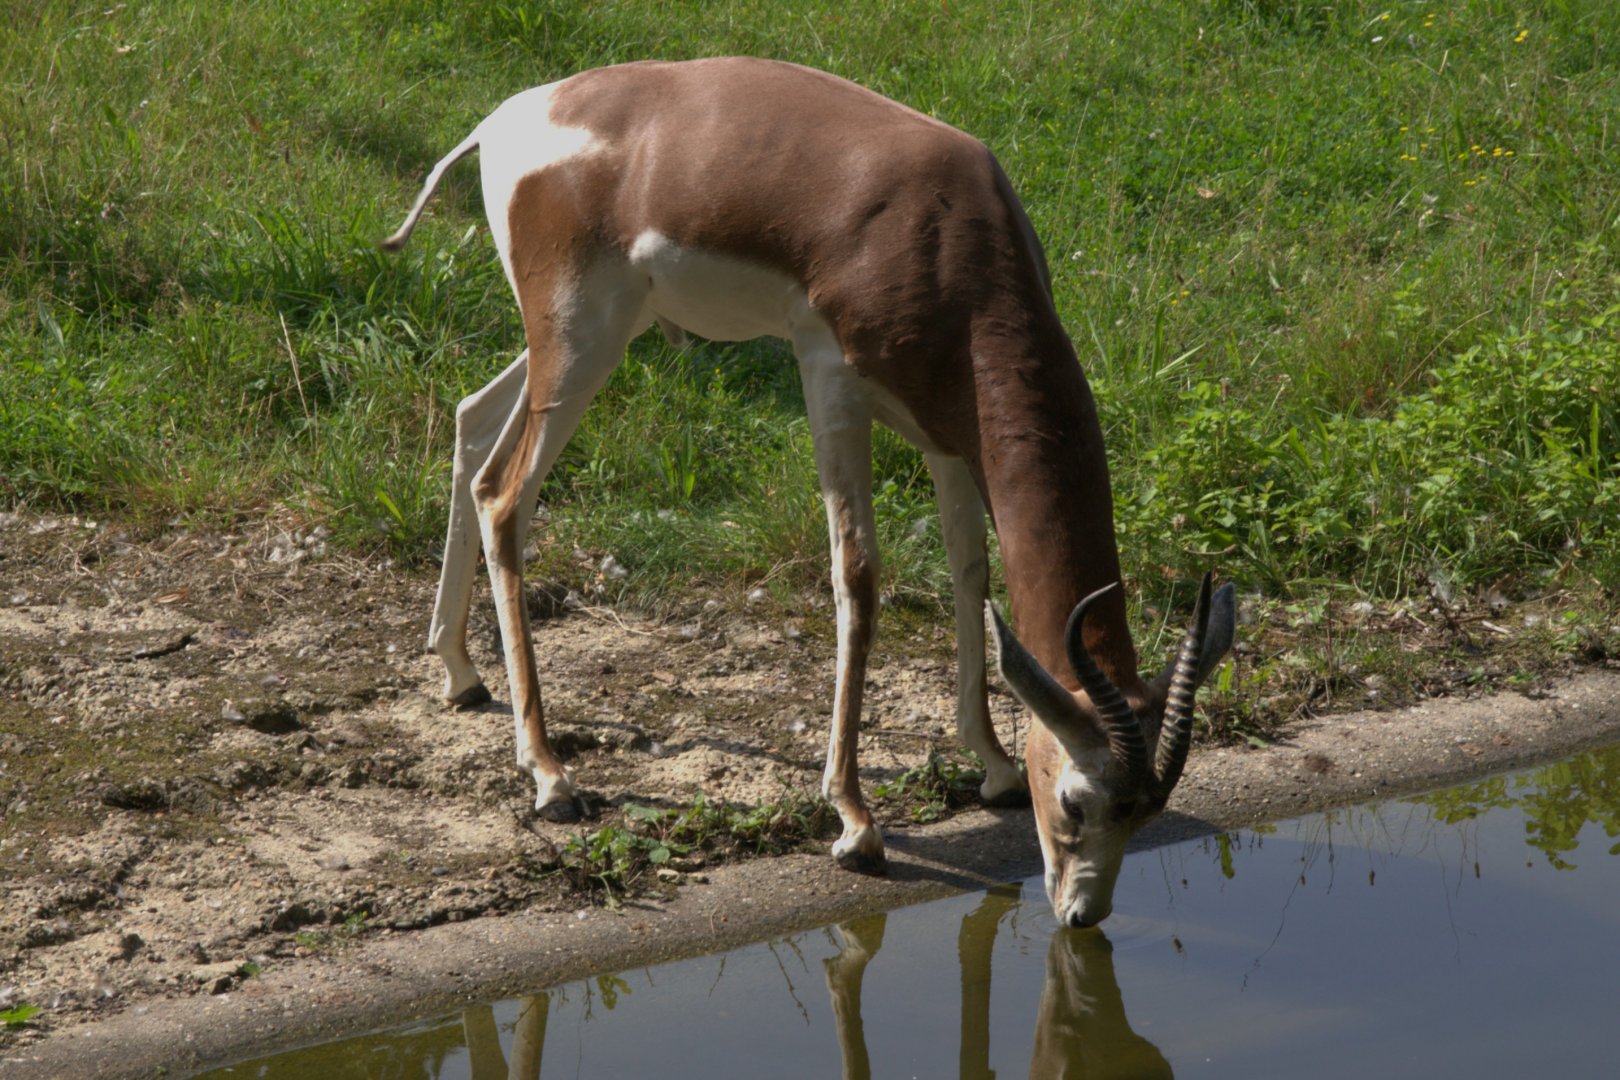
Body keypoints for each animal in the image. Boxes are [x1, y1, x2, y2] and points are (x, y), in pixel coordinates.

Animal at [383, 57, 1235, 927]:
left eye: (1150, 810)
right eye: (1076, 801)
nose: (1080, 914)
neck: (943, 233)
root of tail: (507, 118)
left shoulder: (948, 431)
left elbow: (970, 574)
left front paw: (992, 765)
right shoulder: (830, 376)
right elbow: (857, 576)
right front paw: (856, 822)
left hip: (590, 337)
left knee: (471, 422)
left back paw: (459, 672)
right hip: (582, 338)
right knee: (503, 495)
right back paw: (552, 777)